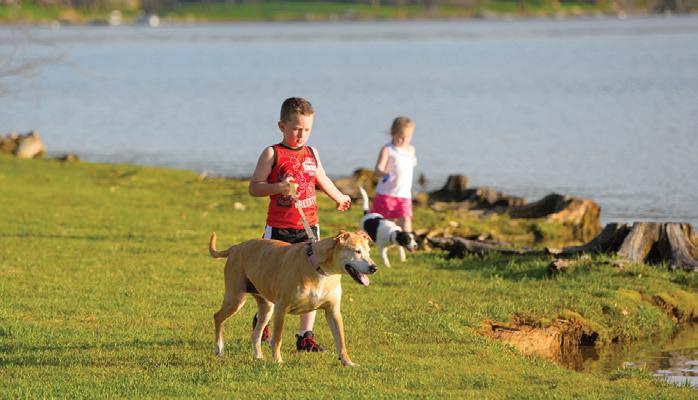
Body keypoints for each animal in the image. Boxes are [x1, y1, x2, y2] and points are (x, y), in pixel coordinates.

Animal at [209, 230, 377, 367]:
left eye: (368, 252)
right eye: (357, 251)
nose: (374, 267)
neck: (319, 269)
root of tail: (236, 247)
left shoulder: (333, 312)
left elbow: (341, 340)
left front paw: (348, 362)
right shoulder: (281, 308)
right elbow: (277, 338)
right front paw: (277, 360)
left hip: (266, 307)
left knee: (256, 332)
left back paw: (258, 356)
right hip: (236, 298)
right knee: (218, 317)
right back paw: (219, 349)